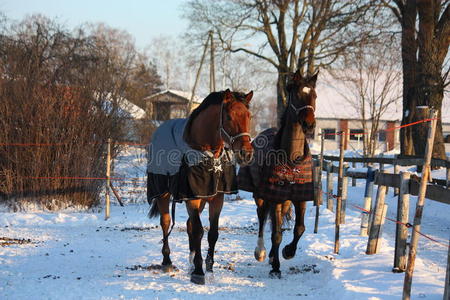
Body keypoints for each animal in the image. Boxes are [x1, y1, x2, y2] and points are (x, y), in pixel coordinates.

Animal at [147, 88, 253, 284]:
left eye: (249, 116)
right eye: (229, 116)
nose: (246, 154)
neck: (209, 155)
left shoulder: (216, 198)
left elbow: (212, 233)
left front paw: (208, 268)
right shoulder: (192, 198)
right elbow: (198, 231)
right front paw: (198, 272)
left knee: (188, 224)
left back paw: (190, 263)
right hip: (162, 192)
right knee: (166, 222)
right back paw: (167, 261)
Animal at [239, 71, 316, 278]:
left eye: (314, 95)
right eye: (297, 94)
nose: (310, 124)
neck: (291, 160)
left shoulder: (299, 198)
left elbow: (299, 228)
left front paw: (287, 252)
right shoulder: (275, 198)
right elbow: (276, 233)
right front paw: (276, 267)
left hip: (284, 200)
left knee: (276, 223)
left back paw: (274, 255)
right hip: (261, 196)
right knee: (262, 218)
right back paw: (261, 252)